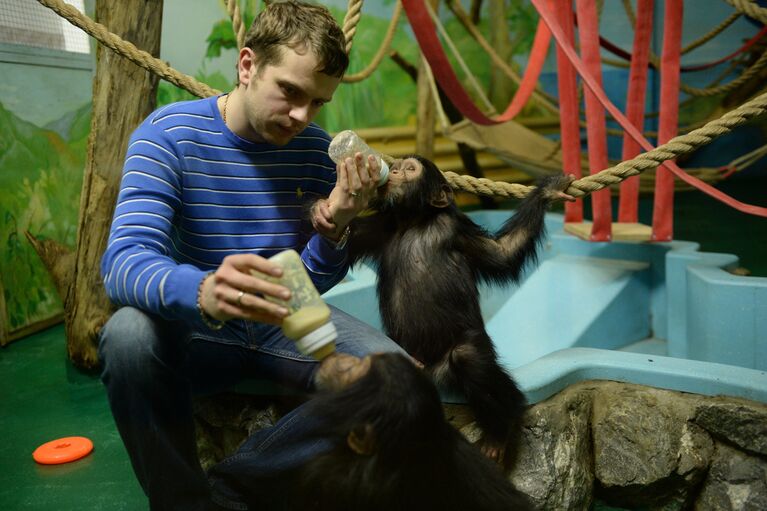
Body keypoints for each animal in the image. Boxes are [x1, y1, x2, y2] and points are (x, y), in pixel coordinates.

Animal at [344, 157, 572, 468]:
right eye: (399, 165)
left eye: (410, 169)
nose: (394, 170)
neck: (414, 223)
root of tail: (429, 371)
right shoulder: (378, 227)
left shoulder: (454, 229)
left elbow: (501, 252)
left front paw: (548, 190)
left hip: (462, 351)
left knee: (470, 360)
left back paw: (500, 429)